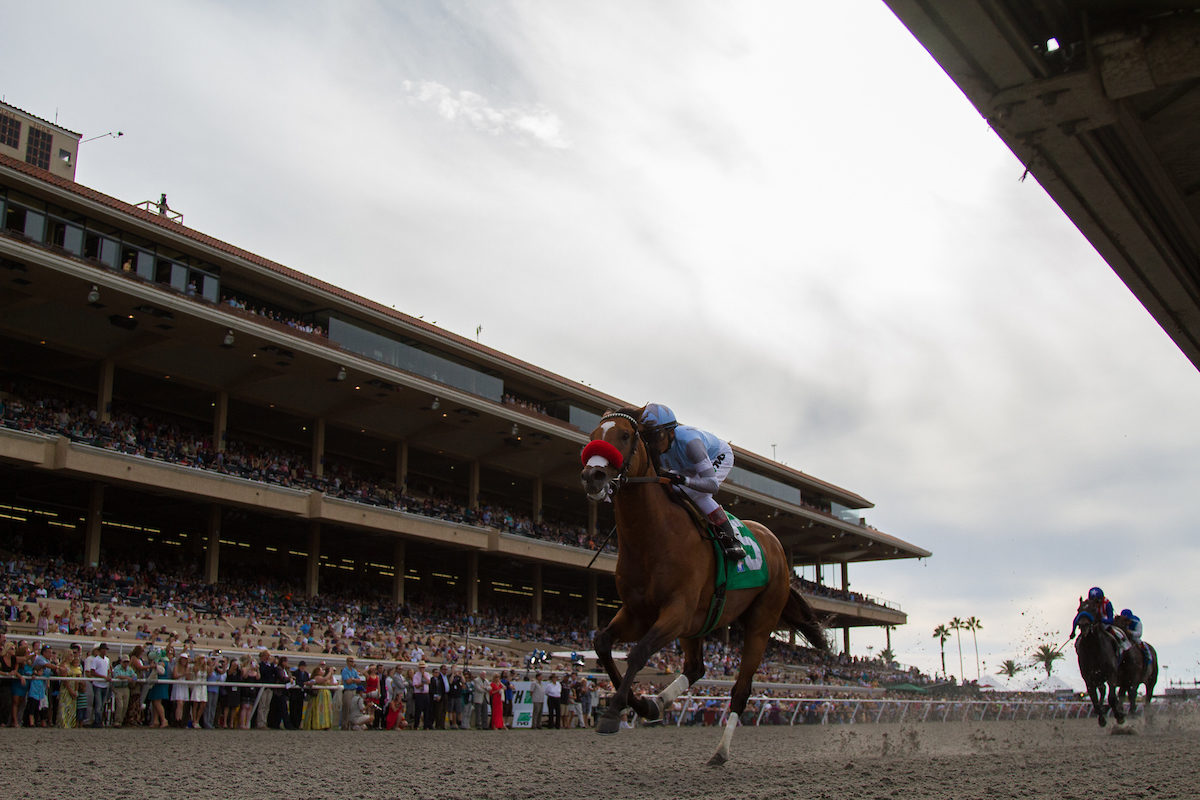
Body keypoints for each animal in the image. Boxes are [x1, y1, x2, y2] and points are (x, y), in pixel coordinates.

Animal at [578, 410, 825, 767]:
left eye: (624, 435)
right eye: (593, 435)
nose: (592, 475)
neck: (653, 536)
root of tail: (776, 544)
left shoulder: (676, 611)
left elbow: (638, 652)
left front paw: (613, 713)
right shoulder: (637, 612)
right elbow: (602, 644)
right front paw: (640, 704)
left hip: (760, 621)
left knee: (741, 689)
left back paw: (720, 752)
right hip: (697, 625)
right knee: (696, 668)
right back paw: (658, 702)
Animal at [1080, 597, 1123, 729]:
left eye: (1093, 609)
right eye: (1079, 609)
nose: (1083, 625)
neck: (1093, 650)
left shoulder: (1111, 674)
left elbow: (1112, 698)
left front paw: (1119, 716)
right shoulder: (1088, 679)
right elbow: (1094, 700)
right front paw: (1101, 719)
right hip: (1098, 678)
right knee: (1102, 690)